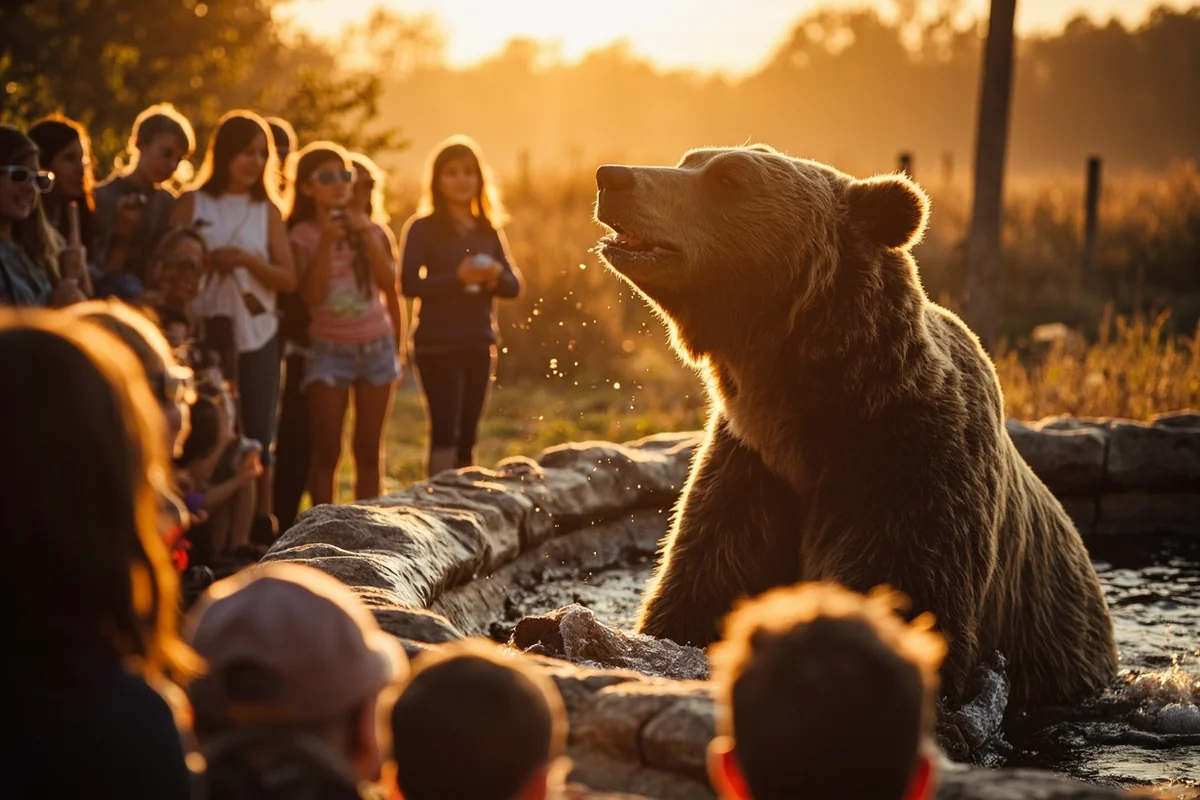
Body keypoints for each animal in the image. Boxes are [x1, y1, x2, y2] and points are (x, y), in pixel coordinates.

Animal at [592, 145, 1117, 712]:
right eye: (691, 158)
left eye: (729, 178)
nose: (612, 176)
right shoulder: (747, 467)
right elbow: (700, 587)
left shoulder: (909, 467)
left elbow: (903, 591)